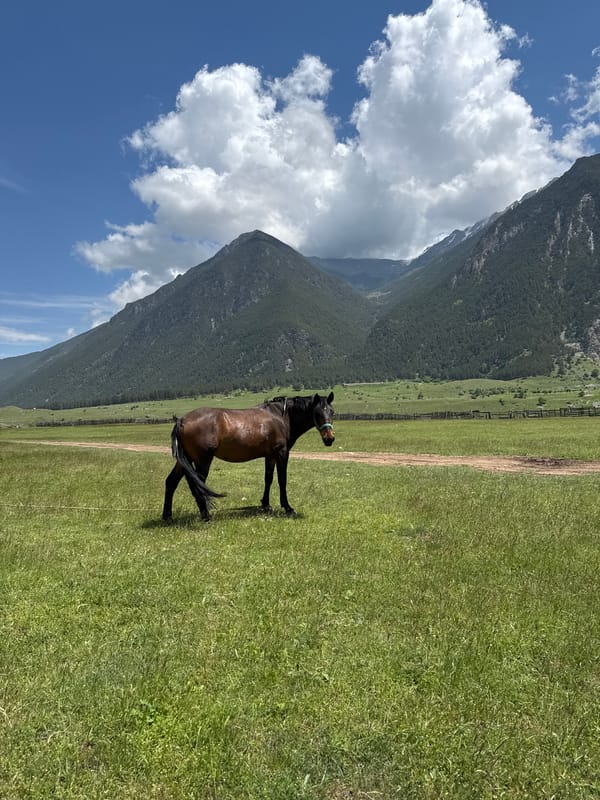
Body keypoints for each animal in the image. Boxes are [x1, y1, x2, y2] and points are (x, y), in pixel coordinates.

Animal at [162, 392, 335, 522]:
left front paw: (266, 505)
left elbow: (268, 479)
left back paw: (167, 517)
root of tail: (182, 420)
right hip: (202, 461)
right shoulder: (281, 453)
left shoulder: (270, 456)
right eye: (317, 413)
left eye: (332, 412)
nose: (330, 439)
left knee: (171, 482)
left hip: (185, 461)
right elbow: (282, 480)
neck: (281, 416)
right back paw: (206, 516)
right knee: (198, 486)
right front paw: (288, 508)